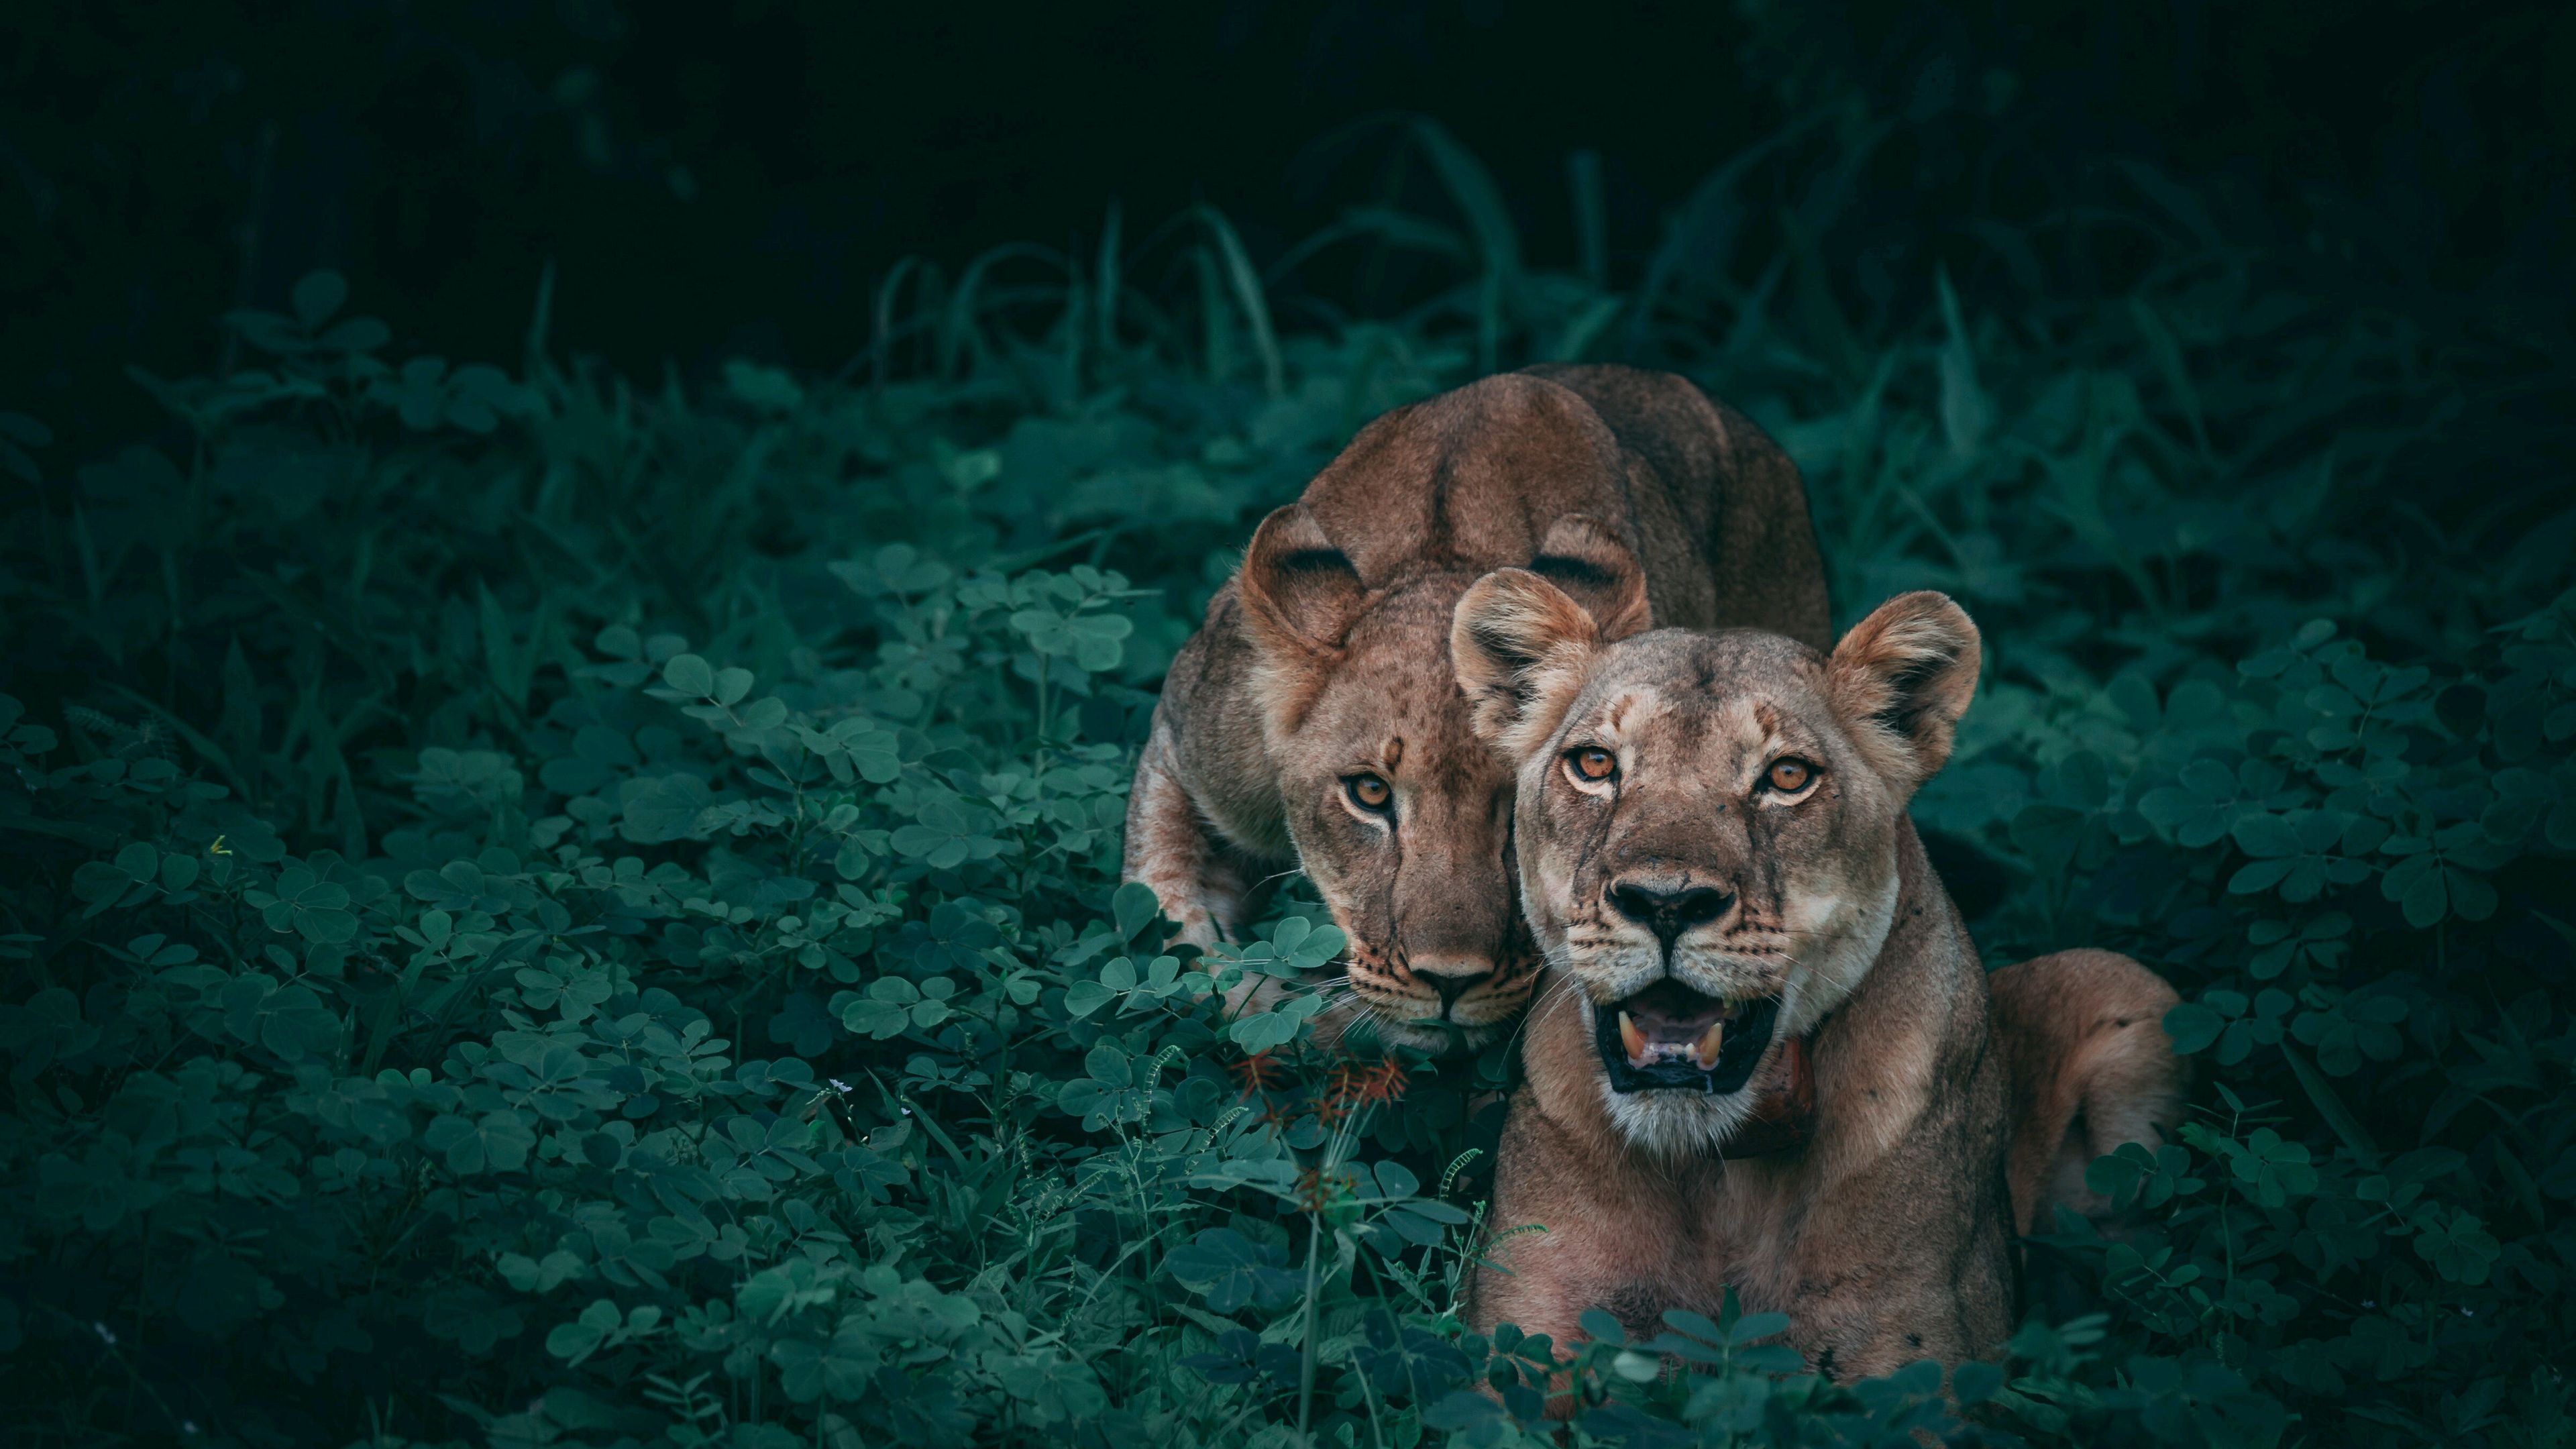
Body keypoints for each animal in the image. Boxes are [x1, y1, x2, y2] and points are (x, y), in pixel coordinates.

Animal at [1447, 572, 2184, 1395]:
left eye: (1787, 777)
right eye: (1596, 765)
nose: (1665, 902)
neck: (1718, 1176)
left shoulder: (1918, 1364)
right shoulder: (1522, 1336)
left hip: (2125, 985)